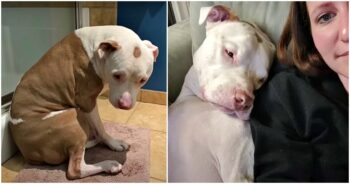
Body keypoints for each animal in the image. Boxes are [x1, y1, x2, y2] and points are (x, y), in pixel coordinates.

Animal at [8, 25, 159, 179]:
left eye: (143, 80)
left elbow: (96, 126)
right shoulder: (87, 101)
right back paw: (108, 164)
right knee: (75, 169)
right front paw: (113, 143)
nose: (125, 104)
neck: (98, 50)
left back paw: (92, 141)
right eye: (117, 75)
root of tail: (27, 153)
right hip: (71, 117)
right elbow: (100, 127)